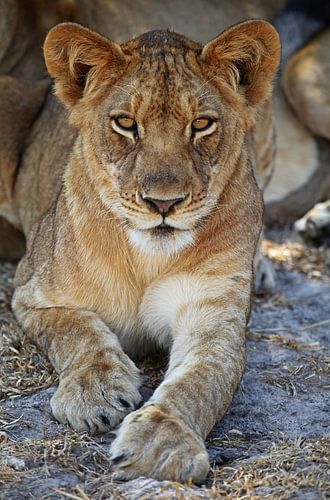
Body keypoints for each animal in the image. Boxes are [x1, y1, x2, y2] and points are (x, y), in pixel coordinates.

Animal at [3, 20, 282, 484]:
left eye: (201, 124)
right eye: (125, 123)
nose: (163, 203)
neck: (146, 258)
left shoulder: (215, 318)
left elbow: (199, 380)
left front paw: (161, 442)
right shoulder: (32, 292)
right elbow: (78, 332)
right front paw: (94, 393)